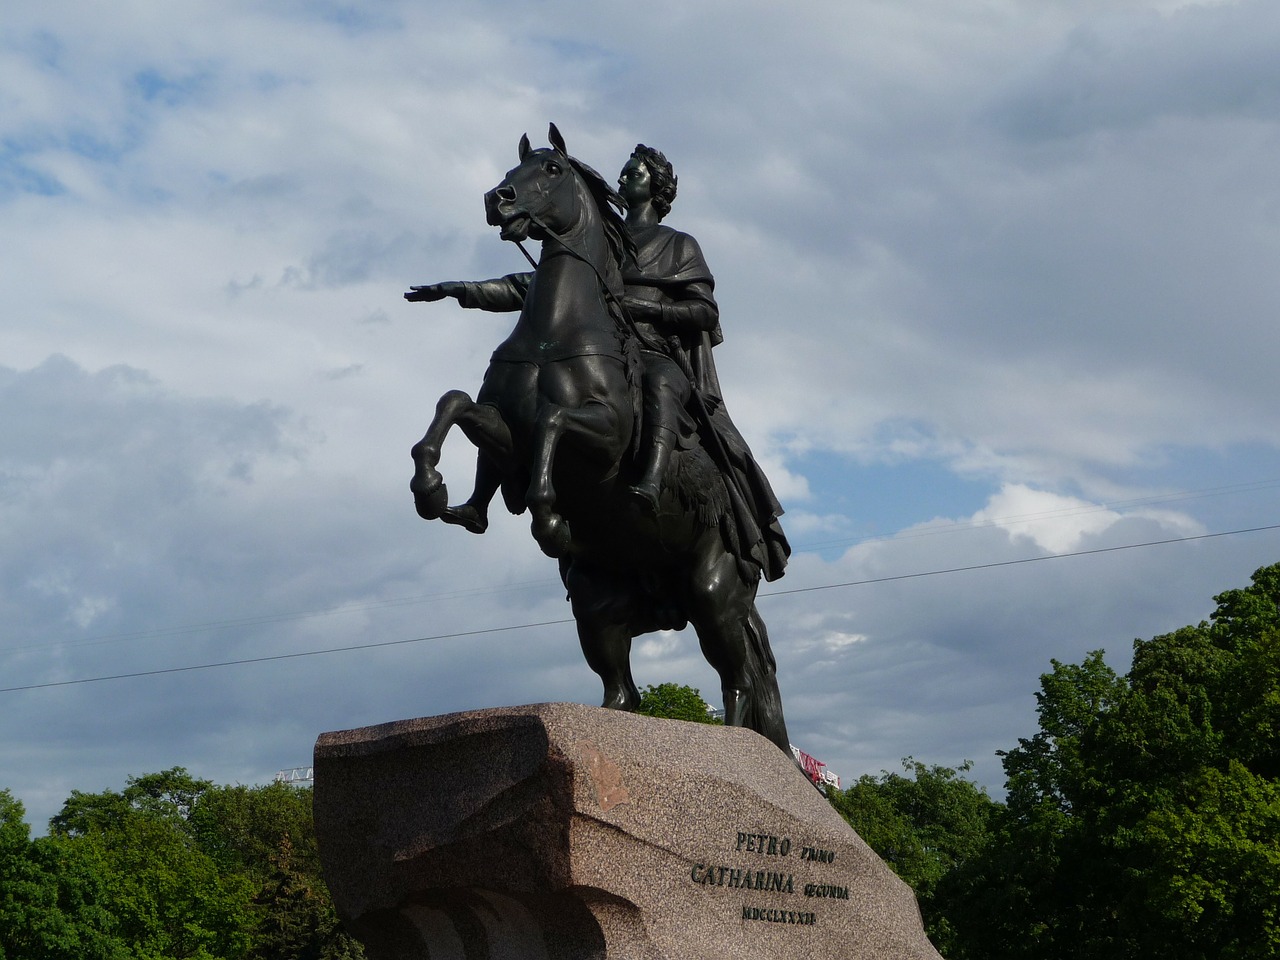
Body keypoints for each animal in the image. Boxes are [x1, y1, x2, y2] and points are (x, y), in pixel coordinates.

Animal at [409, 128, 788, 757]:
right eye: (514, 166)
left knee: (738, 683)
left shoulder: (604, 438)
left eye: (552, 169)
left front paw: (548, 516)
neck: (553, 332)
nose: (497, 198)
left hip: (714, 593)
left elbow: (554, 423)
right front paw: (434, 490)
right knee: (623, 695)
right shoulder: (504, 432)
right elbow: (455, 403)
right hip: (598, 605)